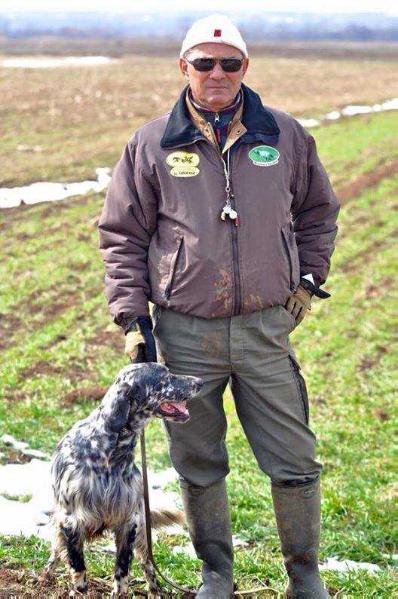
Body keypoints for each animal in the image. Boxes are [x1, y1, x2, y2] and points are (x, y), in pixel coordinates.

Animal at [44, 364, 202, 596]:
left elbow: (121, 571)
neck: (109, 455)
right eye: (164, 378)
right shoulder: (72, 521)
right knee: (56, 551)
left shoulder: (129, 522)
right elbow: (78, 569)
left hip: (143, 533)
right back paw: (44, 576)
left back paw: (155, 592)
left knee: (147, 564)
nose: (200, 382)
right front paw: (78, 589)